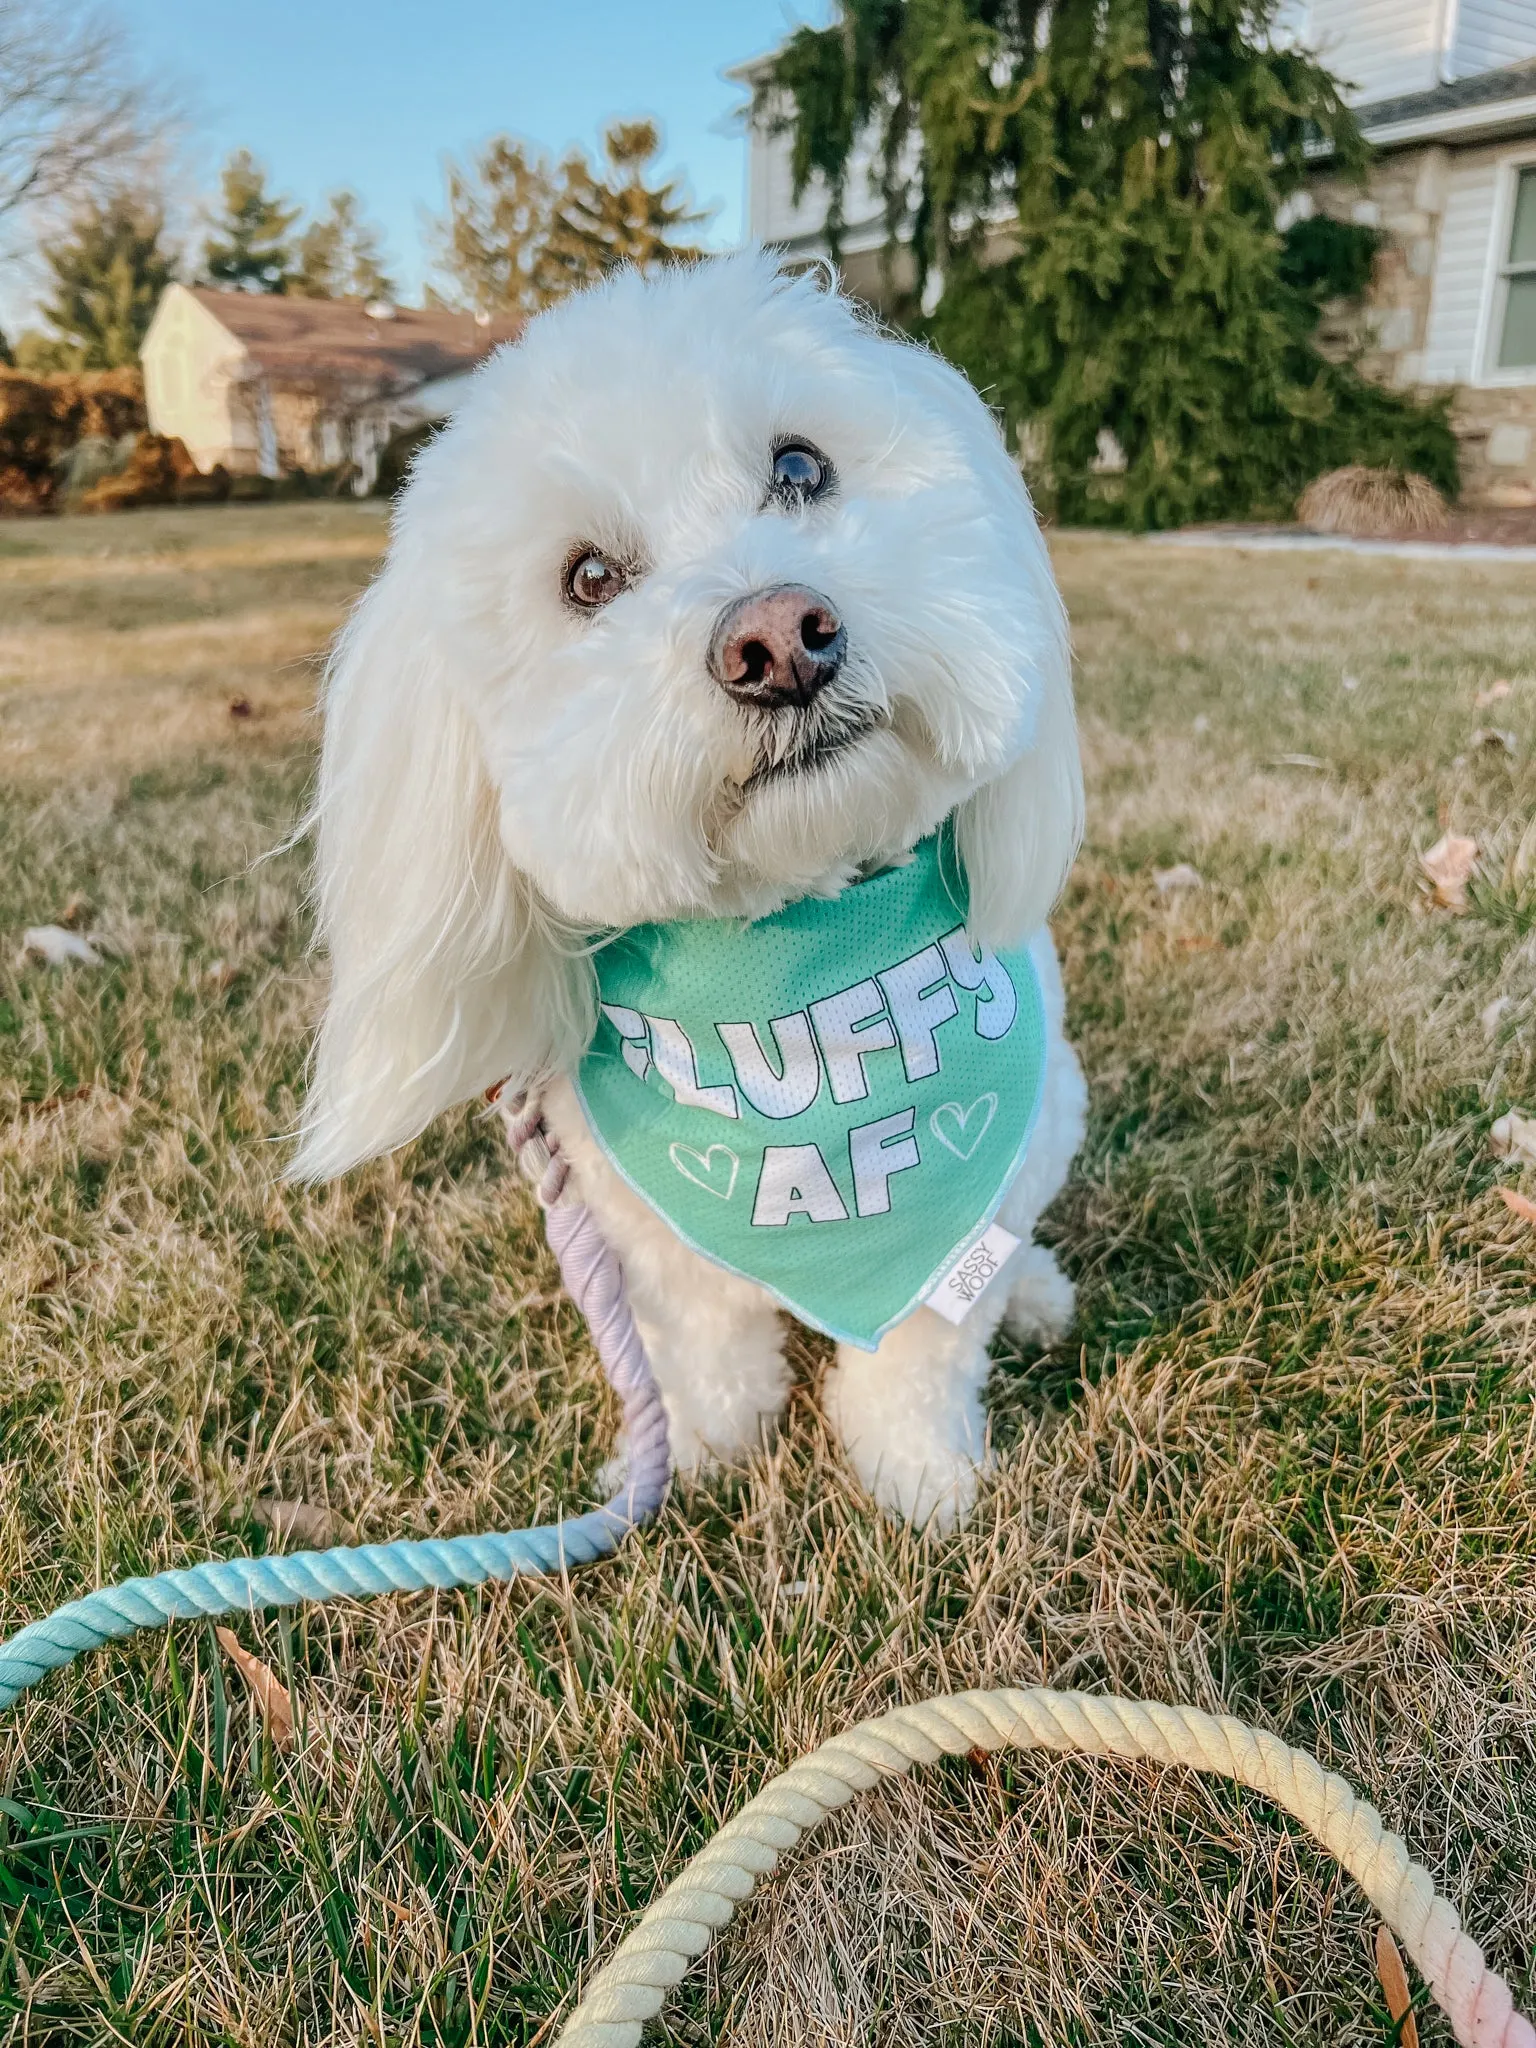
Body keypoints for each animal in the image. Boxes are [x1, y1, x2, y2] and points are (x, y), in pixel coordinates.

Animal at [296, 256, 1097, 1531]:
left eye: (800, 468)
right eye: (588, 578)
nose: (780, 640)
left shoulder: (971, 1217)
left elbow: (922, 1350)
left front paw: (921, 1477)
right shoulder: (642, 1227)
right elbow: (706, 1337)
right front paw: (702, 1448)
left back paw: (1031, 1292)